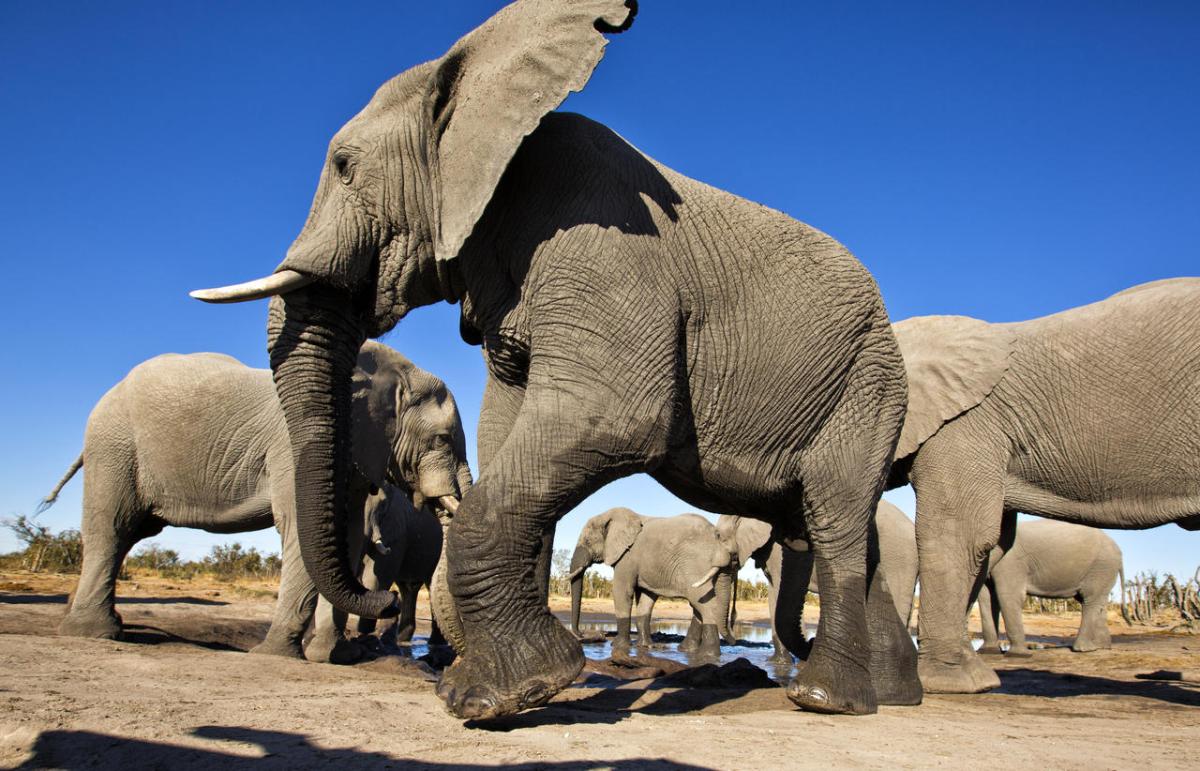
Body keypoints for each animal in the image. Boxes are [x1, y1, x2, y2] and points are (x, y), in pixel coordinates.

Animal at [308, 483, 447, 663]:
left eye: (382, 506)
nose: (393, 601)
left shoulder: (395, 526)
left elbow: (376, 576)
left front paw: (365, 636)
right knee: (408, 588)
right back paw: (402, 639)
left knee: (430, 585)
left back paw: (435, 643)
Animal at [567, 508, 735, 658]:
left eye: (588, 541)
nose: (582, 634)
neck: (611, 515)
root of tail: (715, 535)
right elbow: (646, 600)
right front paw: (644, 646)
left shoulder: (628, 556)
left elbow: (622, 591)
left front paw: (618, 645)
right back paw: (688, 651)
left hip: (695, 564)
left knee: (703, 603)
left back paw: (707, 655)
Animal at [976, 518, 1124, 657]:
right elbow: (986, 598)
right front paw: (987, 652)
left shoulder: (1011, 560)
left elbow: (1009, 595)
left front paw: (1017, 655)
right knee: (1097, 601)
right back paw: (1101, 647)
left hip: (1102, 566)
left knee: (1090, 599)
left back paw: (1084, 649)